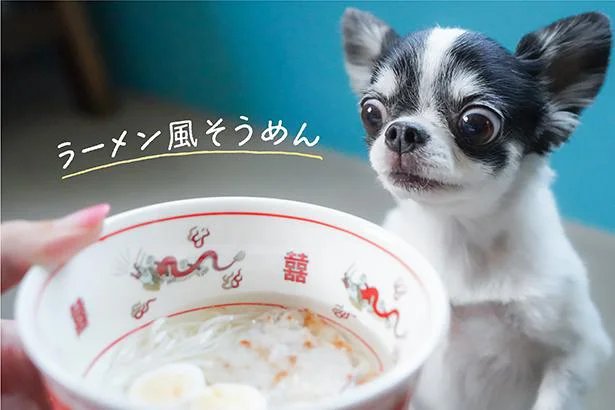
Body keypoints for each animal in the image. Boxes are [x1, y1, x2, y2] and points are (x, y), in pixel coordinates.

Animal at [344, 6, 612, 410]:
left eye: (476, 123)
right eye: (371, 112)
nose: (401, 131)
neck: (455, 229)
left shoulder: (581, 352)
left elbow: (553, 397)